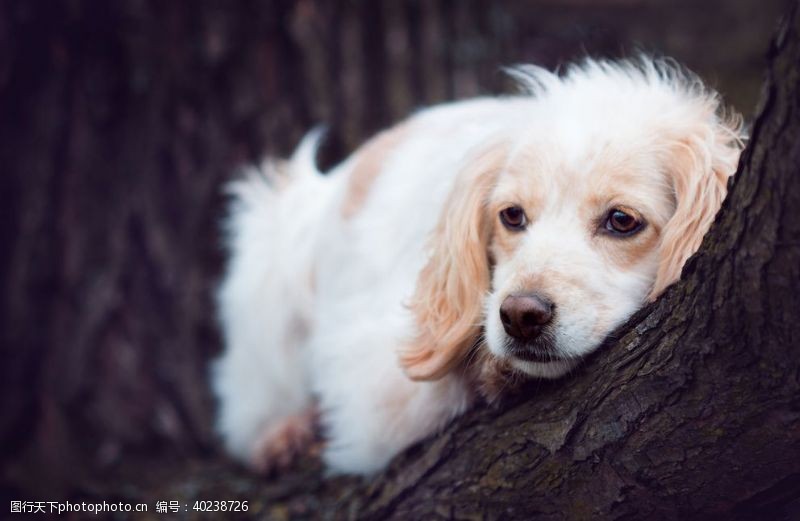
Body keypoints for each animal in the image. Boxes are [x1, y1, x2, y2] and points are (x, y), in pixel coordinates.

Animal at [211, 58, 744, 476]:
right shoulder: (370, 380)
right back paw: (282, 433)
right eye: (511, 216)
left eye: (621, 221)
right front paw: (493, 366)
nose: (520, 317)